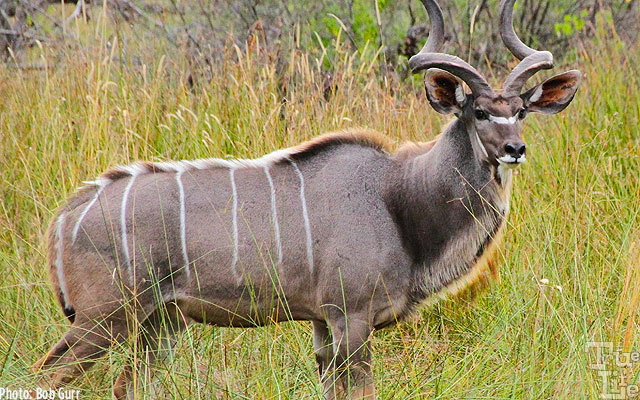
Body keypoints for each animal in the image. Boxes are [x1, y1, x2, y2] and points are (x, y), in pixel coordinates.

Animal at [35, 1, 584, 398]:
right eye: (478, 112)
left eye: (521, 111)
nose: (514, 149)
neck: (399, 198)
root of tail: (66, 215)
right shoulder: (351, 318)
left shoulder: (322, 325)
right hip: (103, 319)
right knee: (46, 373)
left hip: (157, 325)